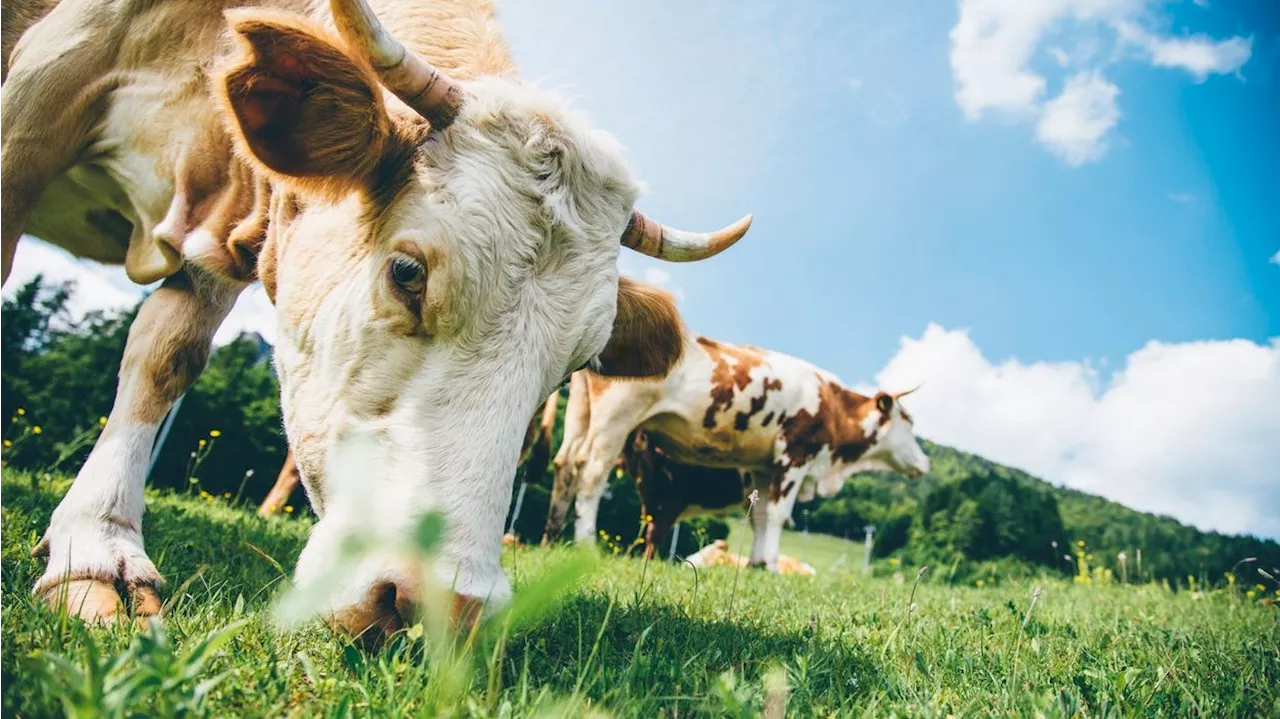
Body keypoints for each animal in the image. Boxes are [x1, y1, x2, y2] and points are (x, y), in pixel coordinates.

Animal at [5, 0, 747, 637]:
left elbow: (166, 354)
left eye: (580, 362)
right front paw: (98, 552)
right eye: (407, 272)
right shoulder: (46, 85)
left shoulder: (238, 227)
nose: (447, 609)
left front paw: (93, 542)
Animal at [542, 326, 931, 570]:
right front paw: (771, 565)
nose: (926, 463)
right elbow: (778, 515)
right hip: (617, 415)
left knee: (565, 466)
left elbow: (761, 517)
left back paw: (550, 539)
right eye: (908, 419)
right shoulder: (794, 455)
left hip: (581, 411)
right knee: (592, 473)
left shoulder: (764, 466)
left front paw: (758, 563)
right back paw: (585, 544)